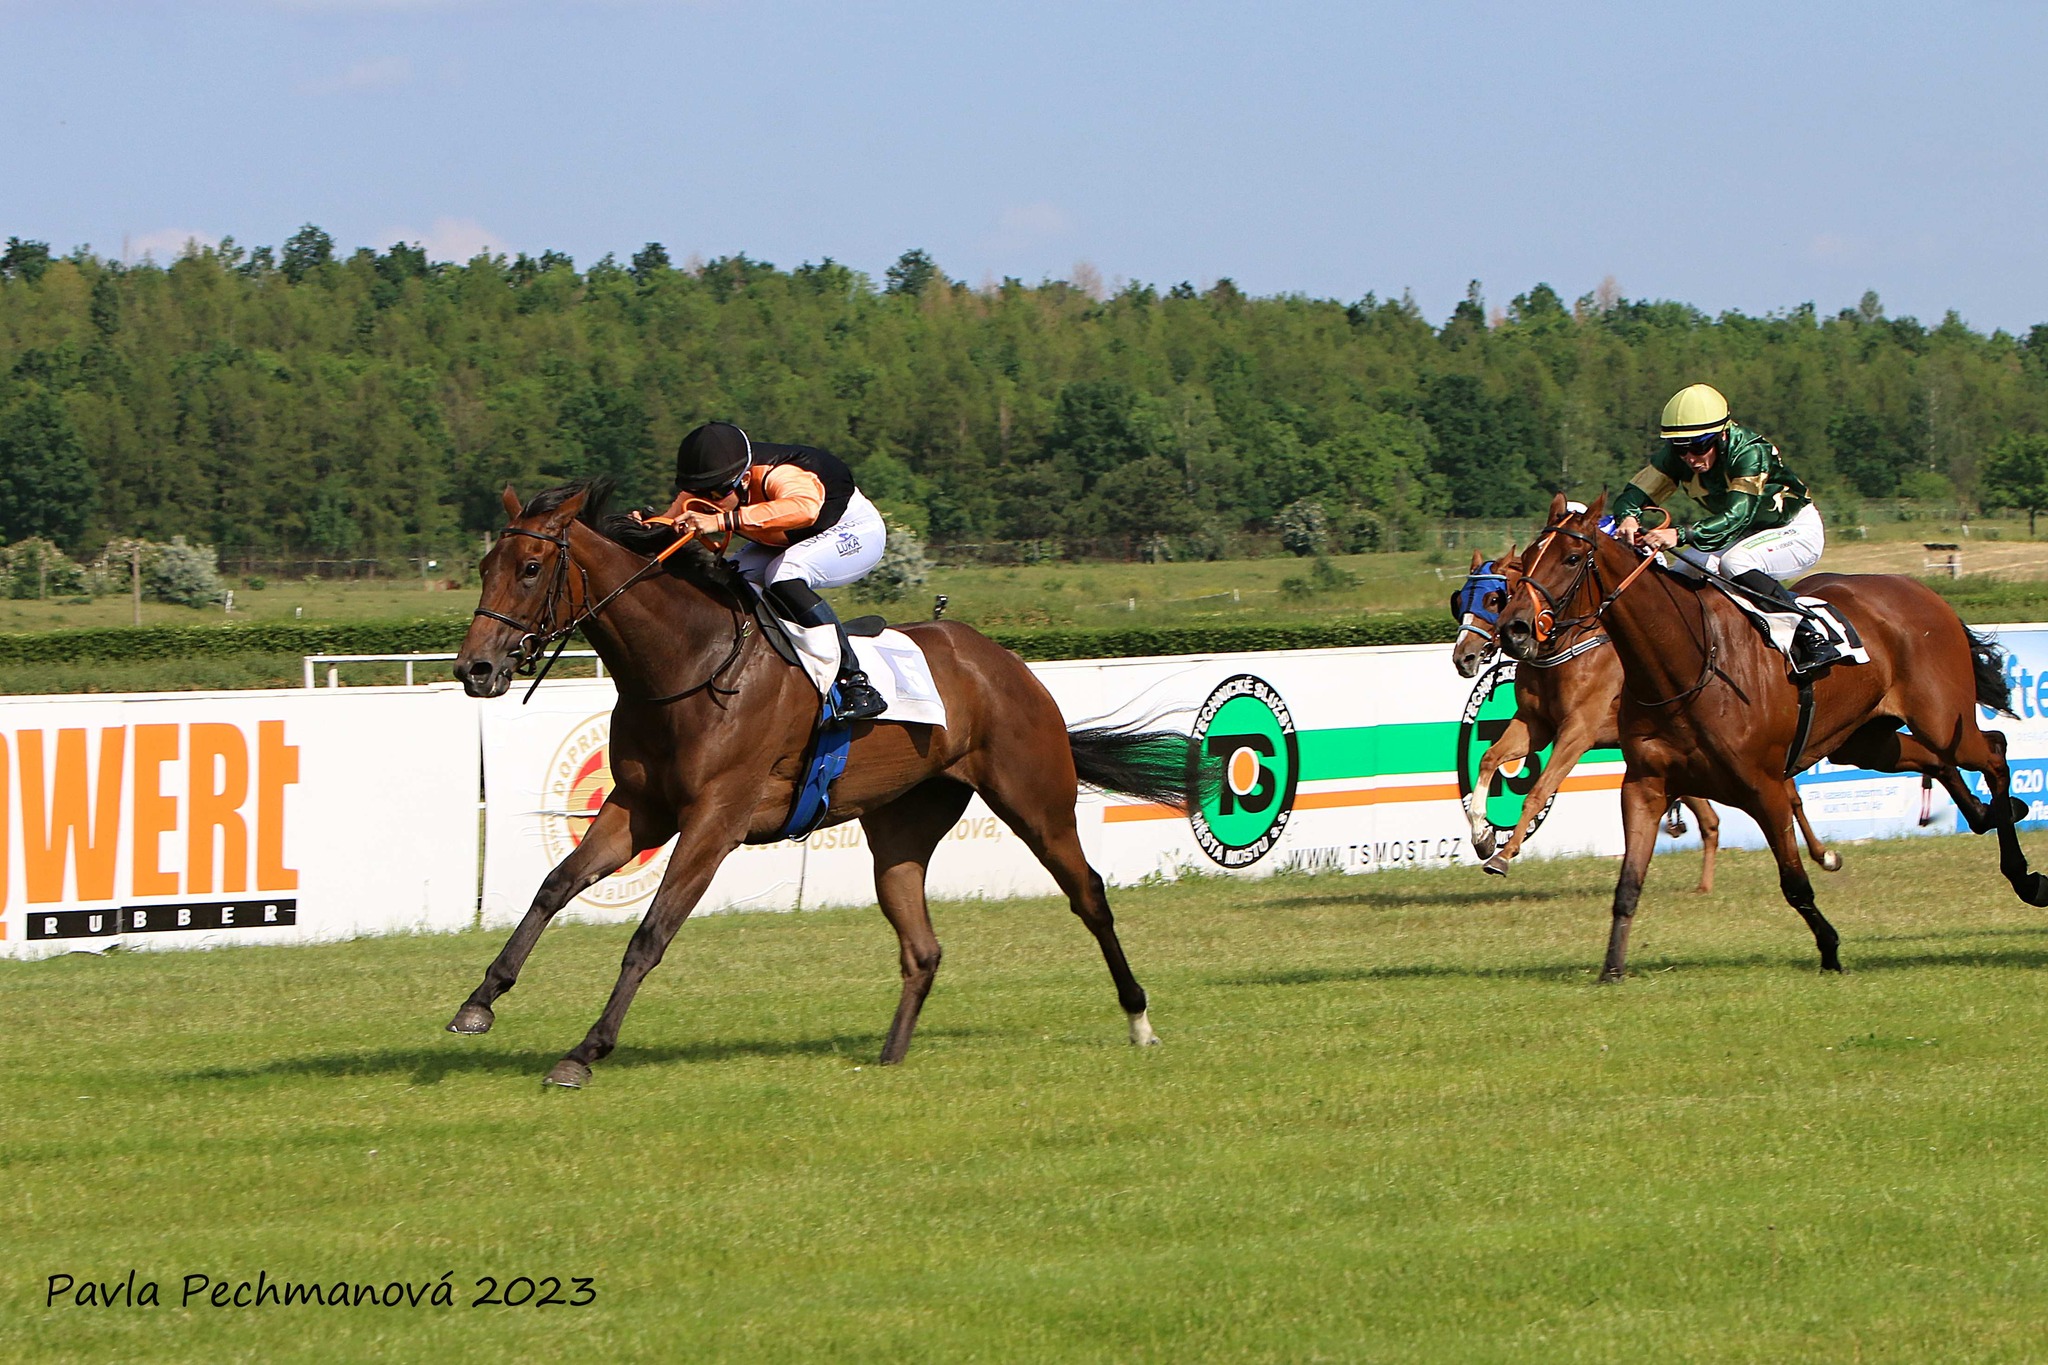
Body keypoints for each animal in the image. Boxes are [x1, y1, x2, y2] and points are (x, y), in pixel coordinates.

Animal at [448, 480, 1187, 1088]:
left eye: (531, 568)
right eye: (485, 568)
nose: (474, 669)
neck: (690, 663)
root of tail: (1004, 662)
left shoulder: (715, 820)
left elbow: (650, 933)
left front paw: (586, 1051)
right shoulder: (640, 808)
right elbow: (555, 885)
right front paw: (479, 1001)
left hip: (1035, 799)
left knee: (1089, 895)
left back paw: (1140, 1022)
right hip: (901, 829)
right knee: (923, 947)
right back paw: (889, 1058)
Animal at [1441, 548, 1843, 892]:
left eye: (1494, 599)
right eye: (1460, 601)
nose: (1464, 657)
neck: (1568, 646)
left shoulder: (1578, 730)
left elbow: (1539, 790)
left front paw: (1504, 855)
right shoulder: (1537, 723)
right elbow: (1489, 758)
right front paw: (1482, 836)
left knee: (1787, 797)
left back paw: (1823, 855)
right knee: (1720, 816)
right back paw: (1710, 881)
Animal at [1490, 497, 2048, 978]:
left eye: (1571, 557)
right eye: (1527, 560)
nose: (1513, 629)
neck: (1688, 662)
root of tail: (1925, 593)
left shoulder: (1765, 787)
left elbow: (1795, 884)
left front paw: (1831, 951)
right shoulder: (1645, 785)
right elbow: (1628, 884)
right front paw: (1611, 969)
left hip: (1939, 714)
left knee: (1992, 751)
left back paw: (2025, 873)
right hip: (1867, 741)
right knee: (1938, 760)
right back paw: (1990, 815)